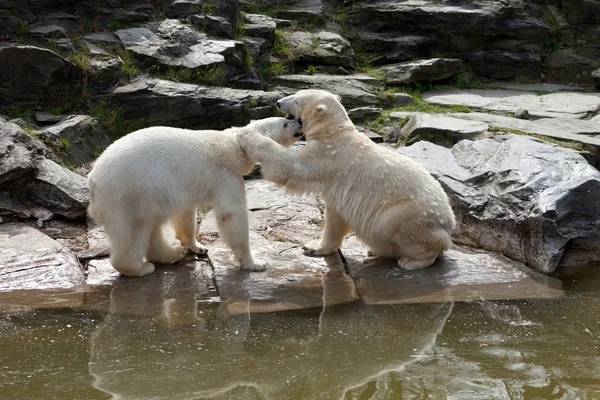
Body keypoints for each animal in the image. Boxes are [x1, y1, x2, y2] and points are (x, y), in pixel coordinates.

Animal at [86, 117, 302, 276]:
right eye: (285, 122)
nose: (299, 122)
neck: (235, 144)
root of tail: (93, 180)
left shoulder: (185, 184)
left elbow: (185, 214)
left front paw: (197, 246)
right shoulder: (224, 173)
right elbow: (232, 213)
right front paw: (255, 263)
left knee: (152, 227)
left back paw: (173, 253)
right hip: (132, 193)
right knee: (136, 230)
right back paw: (140, 268)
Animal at [237, 90, 458, 270]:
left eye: (297, 100)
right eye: (295, 95)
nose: (278, 102)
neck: (334, 132)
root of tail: (449, 225)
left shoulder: (327, 156)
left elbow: (291, 168)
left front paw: (247, 135)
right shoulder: (338, 187)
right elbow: (334, 219)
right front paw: (314, 247)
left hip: (410, 215)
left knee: (402, 229)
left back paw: (410, 261)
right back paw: (377, 251)